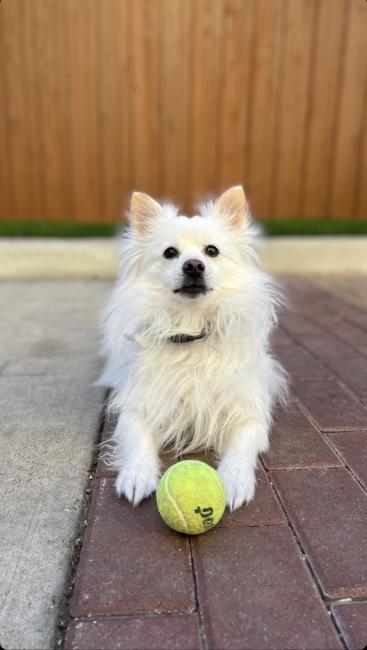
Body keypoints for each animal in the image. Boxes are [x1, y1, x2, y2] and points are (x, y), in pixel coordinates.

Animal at [98, 185, 288, 508]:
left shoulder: (248, 414)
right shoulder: (138, 407)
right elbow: (137, 441)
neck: (191, 330)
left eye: (211, 251)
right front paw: (136, 475)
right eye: (170, 253)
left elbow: (241, 449)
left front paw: (235, 481)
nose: (194, 265)